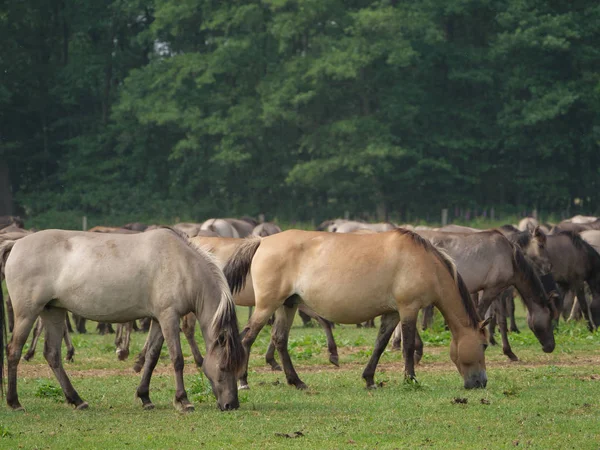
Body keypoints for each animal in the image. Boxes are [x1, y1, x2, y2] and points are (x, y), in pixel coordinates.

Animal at [0, 229, 244, 412]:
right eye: (224, 366)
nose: (231, 404)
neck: (182, 264)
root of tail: (16, 243)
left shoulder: (158, 320)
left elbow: (152, 357)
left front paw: (145, 397)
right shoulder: (169, 317)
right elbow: (177, 359)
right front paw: (183, 401)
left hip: (54, 312)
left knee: (52, 355)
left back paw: (77, 400)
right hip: (27, 313)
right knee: (13, 351)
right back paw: (14, 402)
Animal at [223, 229, 490, 390]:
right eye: (485, 344)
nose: (481, 382)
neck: (424, 262)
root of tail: (261, 241)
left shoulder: (392, 313)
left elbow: (380, 344)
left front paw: (369, 379)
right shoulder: (408, 309)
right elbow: (407, 346)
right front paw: (410, 379)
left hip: (287, 305)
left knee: (279, 340)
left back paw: (296, 381)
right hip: (267, 306)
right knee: (247, 339)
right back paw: (243, 381)